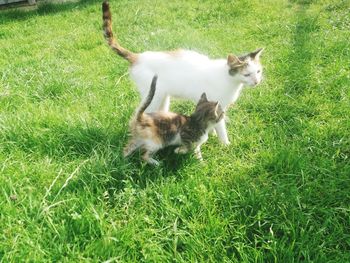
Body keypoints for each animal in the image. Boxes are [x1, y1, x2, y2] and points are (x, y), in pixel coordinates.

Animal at [102, 0, 264, 145]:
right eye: (247, 74)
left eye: (258, 71)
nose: (256, 82)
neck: (229, 79)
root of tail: (138, 57)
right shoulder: (218, 106)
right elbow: (221, 128)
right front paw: (226, 145)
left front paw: (211, 132)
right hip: (153, 96)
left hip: (163, 98)